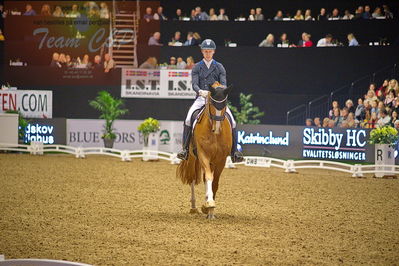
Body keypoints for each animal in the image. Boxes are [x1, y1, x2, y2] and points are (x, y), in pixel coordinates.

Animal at [177, 82, 233, 219]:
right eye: (212, 104)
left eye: (224, 104)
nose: (217, 129)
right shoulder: (203, 155)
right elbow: (208, 177)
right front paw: (210, 204)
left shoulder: (221, 160)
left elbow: (215, 182)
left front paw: (209, 210)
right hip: (192, 158)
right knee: (192, 178)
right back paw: (194, 207)